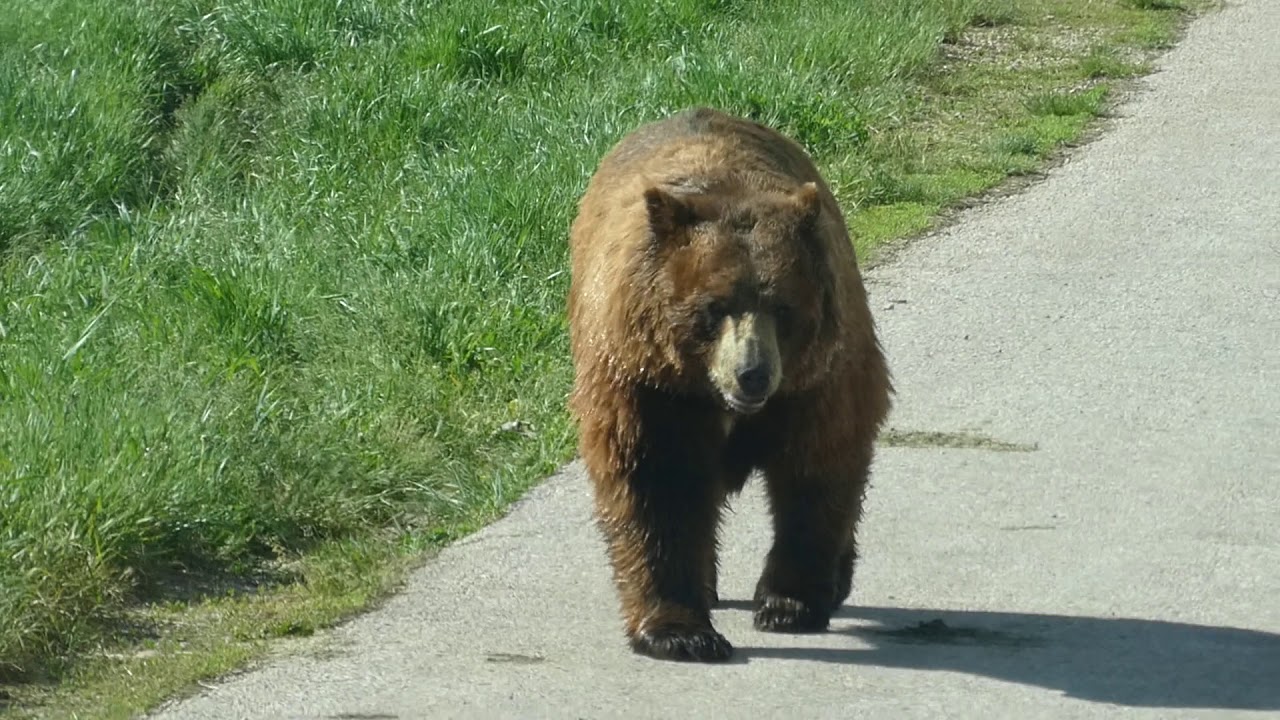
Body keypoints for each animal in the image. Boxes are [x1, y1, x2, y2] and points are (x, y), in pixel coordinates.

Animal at [566, 107, 892, 663]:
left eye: (783, 307)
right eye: (713, 307)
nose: (752, 372)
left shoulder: (814, 383)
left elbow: (817, 470)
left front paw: (789, 603)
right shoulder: (647, 381)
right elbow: (655, 482)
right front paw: (680, 631)